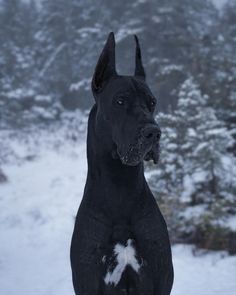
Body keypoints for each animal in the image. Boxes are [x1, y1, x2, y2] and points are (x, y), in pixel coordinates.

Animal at [70, 33, 173, 295]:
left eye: (152, 102)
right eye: (120, 101)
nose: (154, 133)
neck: (120, 185)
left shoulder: (161, 277)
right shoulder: (88, 280)